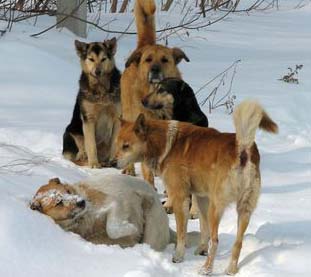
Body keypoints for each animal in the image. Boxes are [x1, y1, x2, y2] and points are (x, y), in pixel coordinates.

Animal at [62, 37, 121, 167]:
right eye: (91, 59)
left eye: (103, 59)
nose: (97, 71)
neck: (100, 89)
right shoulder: (89, 118)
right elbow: (91, 144)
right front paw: (94, 163)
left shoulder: (116, 118)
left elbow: (114, 144)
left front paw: (112, 161)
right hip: (71, 131)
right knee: (79, 151)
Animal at [115, 101, 280, 274]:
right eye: (117, 144)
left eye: (126, 146)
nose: (111, 162)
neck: (167, 144)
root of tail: (242, 148)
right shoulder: (201, 198)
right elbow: (203, 228)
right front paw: (201, 249)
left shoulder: (181, 197)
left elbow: (182, 233)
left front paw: (178, 256)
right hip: (244, 209)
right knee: (237, 243)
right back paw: (230, 270)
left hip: (216, 208)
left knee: (215, 240)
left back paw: (206, 269)